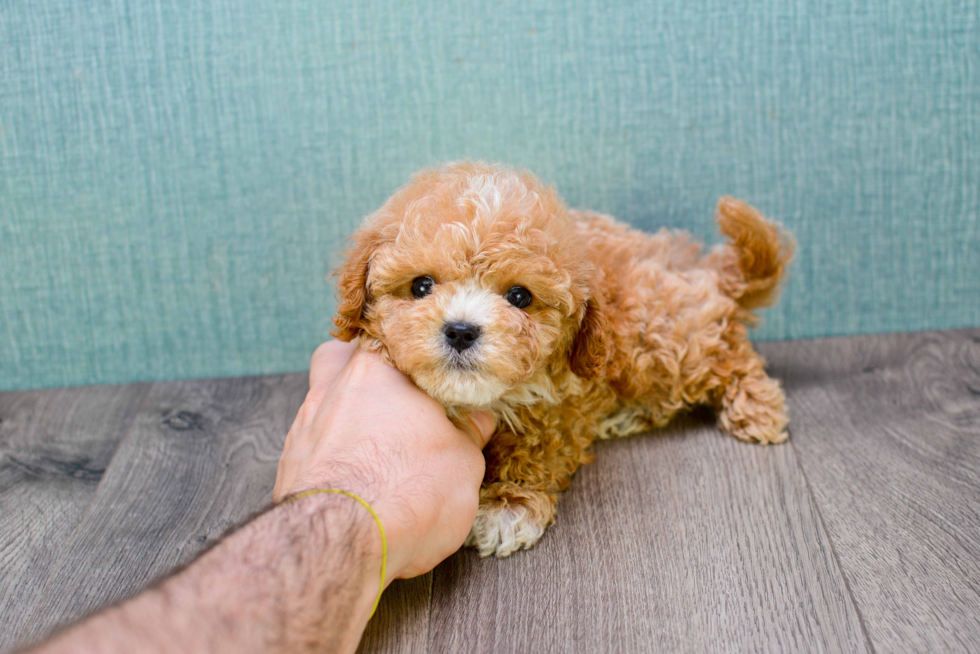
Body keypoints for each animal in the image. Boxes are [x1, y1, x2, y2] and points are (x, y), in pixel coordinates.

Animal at [334, 163, 792, 560]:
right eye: (421, 286)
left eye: (520, 296)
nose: (461, 331)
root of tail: (703, 271)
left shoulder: (565, 401)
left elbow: (537, 445)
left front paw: (508, 504)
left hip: (659, 341)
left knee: (729, 356)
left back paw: (758, 408)